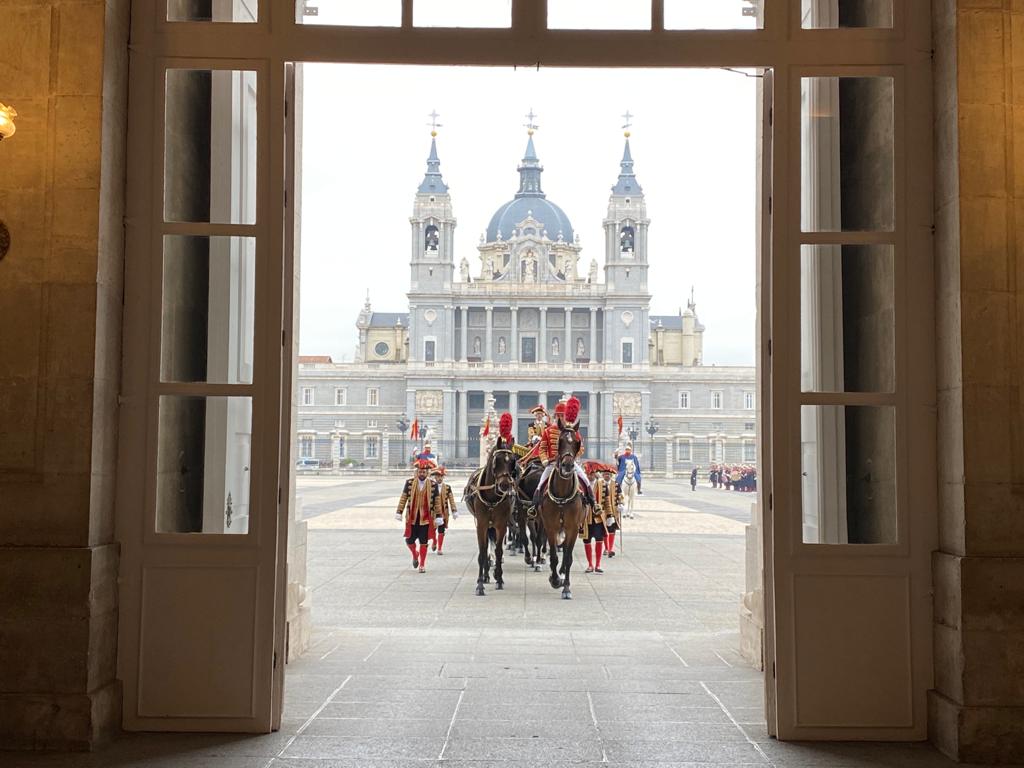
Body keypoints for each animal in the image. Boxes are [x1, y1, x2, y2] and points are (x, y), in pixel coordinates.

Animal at [464, 442, 520, 598]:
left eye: (512, 461)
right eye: (497, 461)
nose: (505, 485)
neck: (492, 496)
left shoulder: (501, 525)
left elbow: (498, 550)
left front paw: (499, 579)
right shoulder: (481, 525)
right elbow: (482, 552)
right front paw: (480, 584)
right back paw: (486, 574)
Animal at [532, 428, 589, 602]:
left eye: (576, 442)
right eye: (560, 442)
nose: (568, 466)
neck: (563, 495)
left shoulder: (573, 528)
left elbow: (568, 557)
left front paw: (566, 587)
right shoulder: (550, 527)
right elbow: (553, 556)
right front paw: (555, 579)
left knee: (565, 550)